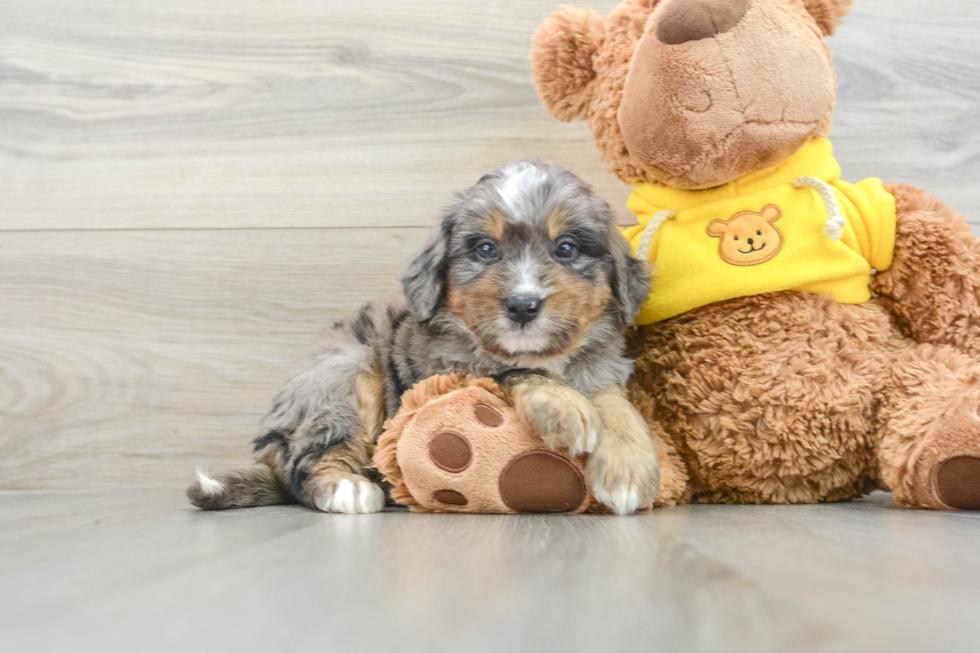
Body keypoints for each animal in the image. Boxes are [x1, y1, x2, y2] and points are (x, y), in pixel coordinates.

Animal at [186, 159, 660, 516]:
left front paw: (629, 469)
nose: (523, 306)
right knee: (308, 464)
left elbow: (617, 406)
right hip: (343, 372)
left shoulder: (602, 366)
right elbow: (515, 370)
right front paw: (564, 408)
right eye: (485, 249)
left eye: (566, 248)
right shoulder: (449, 366)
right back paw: (348, 488)